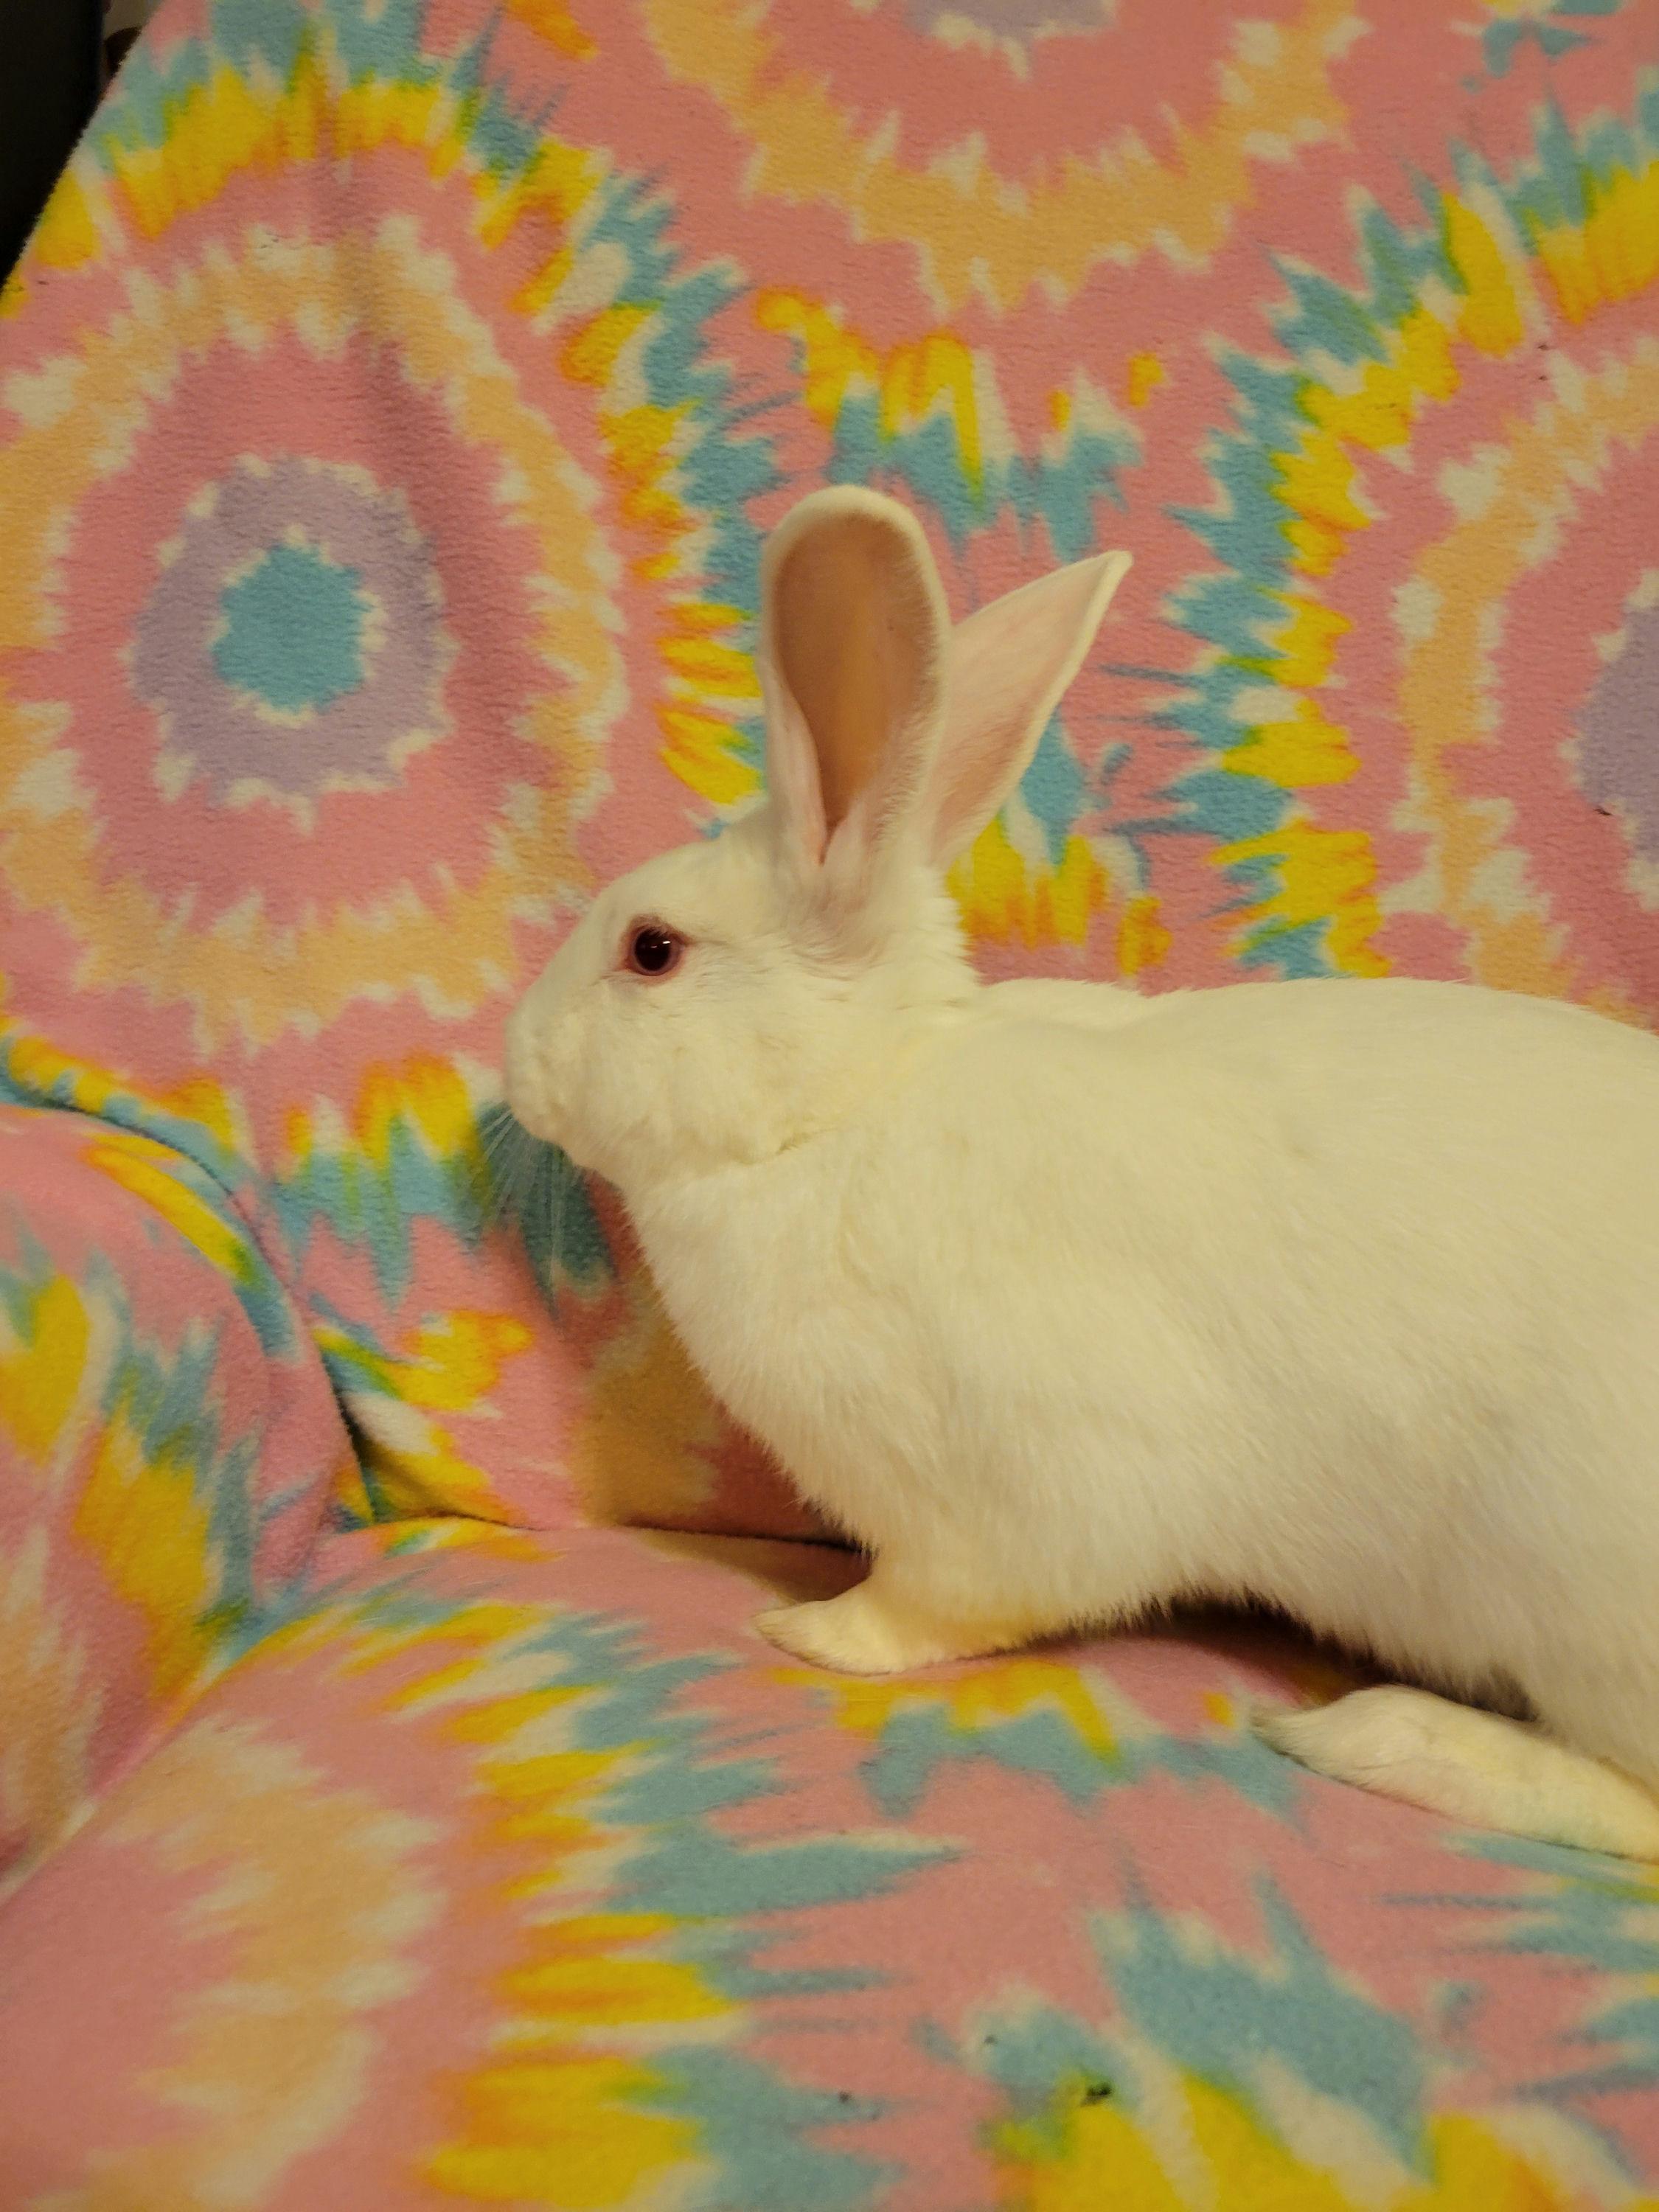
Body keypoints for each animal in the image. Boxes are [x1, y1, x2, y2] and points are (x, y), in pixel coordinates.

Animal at [506, 485, 1659, 1861]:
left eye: (652, 951)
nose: (513, 1065)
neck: (848, 1108)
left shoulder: (1003, 1499)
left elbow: (944, 1604)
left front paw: (812, 1630)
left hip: (1582, 1605)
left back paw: (1383, 1740)